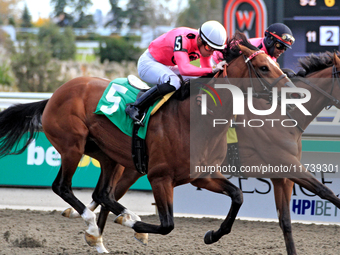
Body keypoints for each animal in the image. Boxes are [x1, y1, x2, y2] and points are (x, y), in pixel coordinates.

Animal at [0, 32, 294, 252]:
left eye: (276, 63)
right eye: (263, 67)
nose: (291, 91)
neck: (198, 117)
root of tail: (54, 95)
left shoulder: (202, 175)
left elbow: (238, 195)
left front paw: (213, 234)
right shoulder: (160, 177)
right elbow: (167, 225)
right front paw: (134, 227)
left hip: (110, 156)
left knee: (102, 194)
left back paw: (109, 229)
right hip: (72, 147)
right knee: (62, 186)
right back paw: (96, 224)